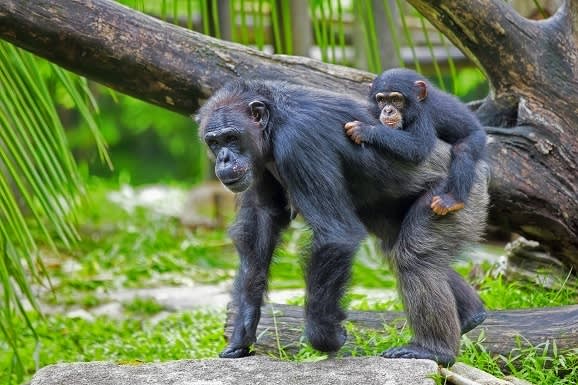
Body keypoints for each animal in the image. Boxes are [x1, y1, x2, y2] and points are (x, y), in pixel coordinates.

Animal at [344, 67, 484, 214]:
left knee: (463, 149)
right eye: (381, 100)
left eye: (396, 99)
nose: (388, 110)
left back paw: (453, 200)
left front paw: (365, 130)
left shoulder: (423, 115)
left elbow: (418, 146)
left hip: (478, 137)